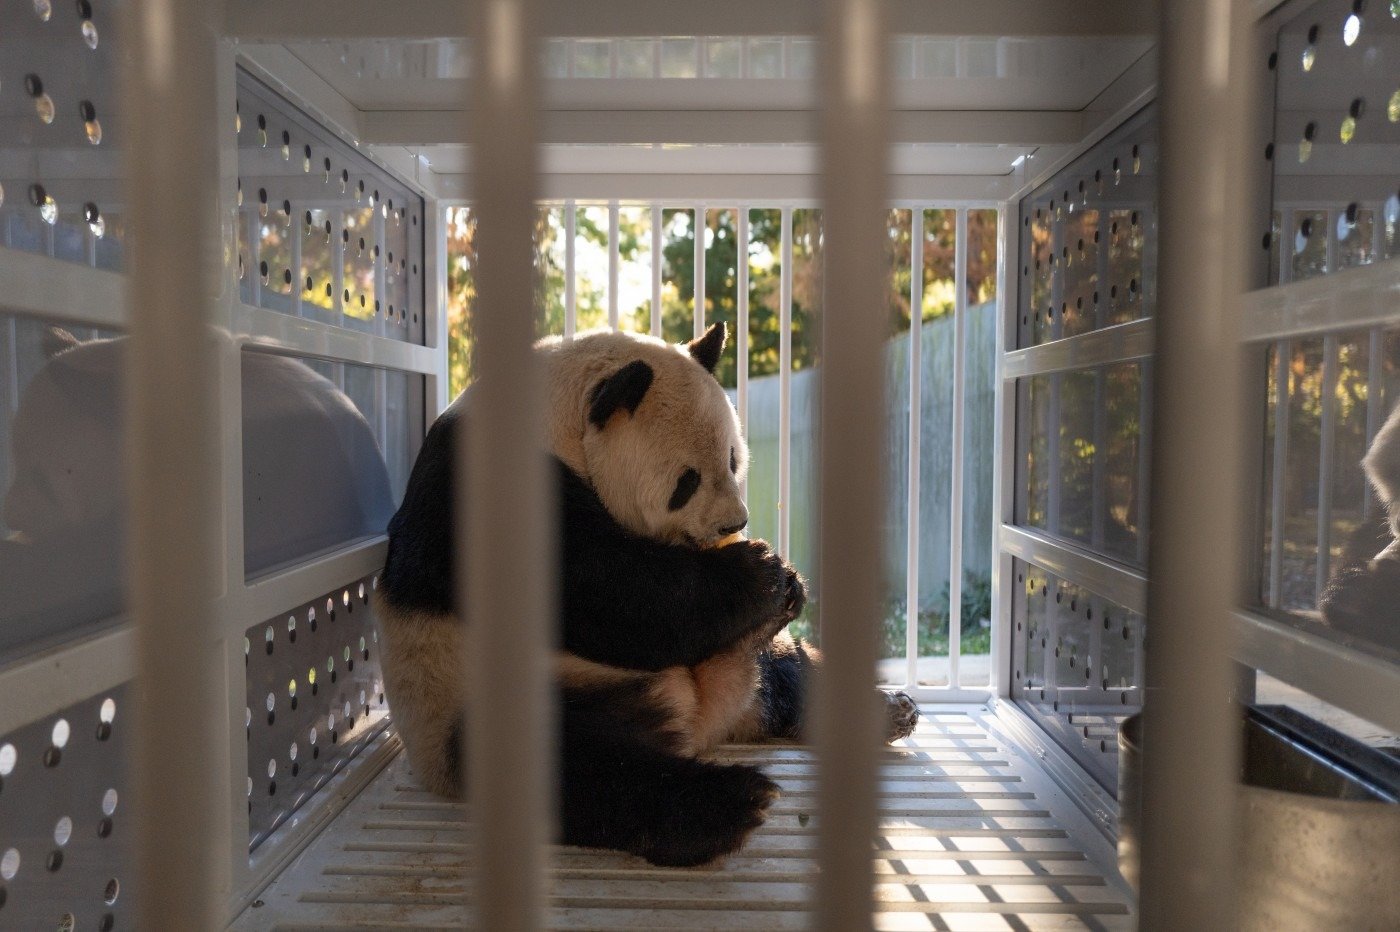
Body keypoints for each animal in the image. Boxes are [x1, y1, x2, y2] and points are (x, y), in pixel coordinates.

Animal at [375, 321, 918, 862]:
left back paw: (886, 710)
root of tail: (697, 721)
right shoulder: (488, 490)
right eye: (687, 481)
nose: (734, 524)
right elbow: (609, 593)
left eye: (733, 459)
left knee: (787, 670)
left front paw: (786, 584)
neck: (559, 424)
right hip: (484, 696)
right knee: (576, 764)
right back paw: (728, 804)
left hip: (736, 662)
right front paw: (758, 572)